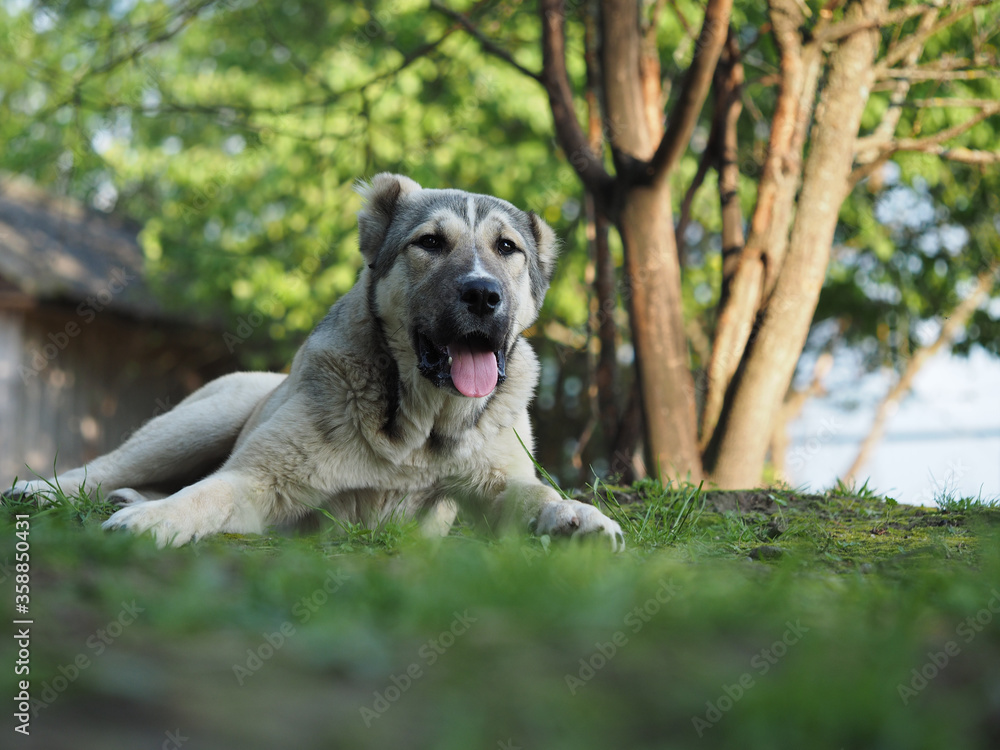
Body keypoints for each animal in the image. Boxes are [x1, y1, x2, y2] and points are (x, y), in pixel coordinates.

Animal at [9, 176, 624, 552]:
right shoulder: (260, 482)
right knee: (108, 468)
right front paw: (156, 522)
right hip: (198, 422)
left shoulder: (493, 486)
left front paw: (578, 516)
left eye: (507, 249)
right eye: (429, 242)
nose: (482, 295)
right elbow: (206, 493)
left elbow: (535, 493)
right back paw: (46, 492)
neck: (418, 428)